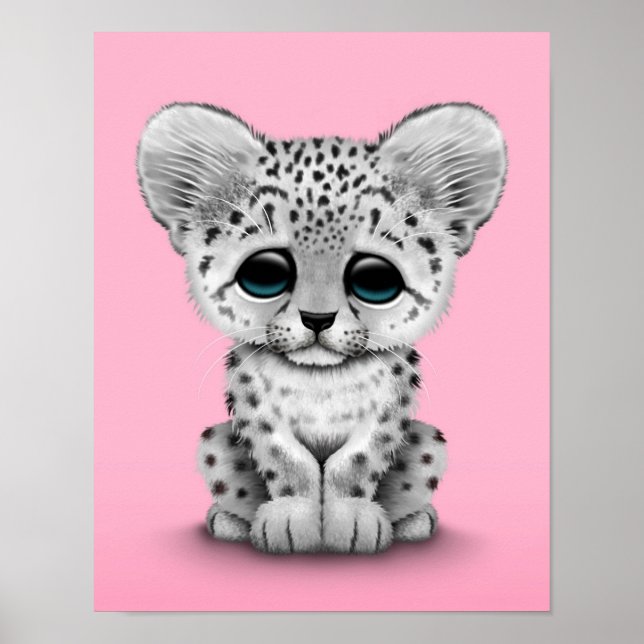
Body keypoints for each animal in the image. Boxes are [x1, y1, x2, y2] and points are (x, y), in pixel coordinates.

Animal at [136, 101, 507, 554]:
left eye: (375, 279)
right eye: (263, 273)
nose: (317, 319)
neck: (320, 381)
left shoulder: (388, 412)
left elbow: (356, 464)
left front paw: (351, 519)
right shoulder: (256, 411)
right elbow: (287, 461)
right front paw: (291, 519)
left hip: (430, 443)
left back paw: (415, 522)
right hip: (215, 443)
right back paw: (229, 522)